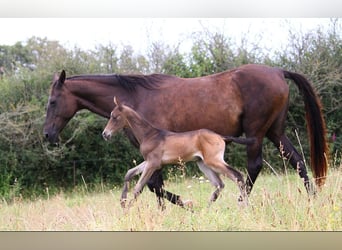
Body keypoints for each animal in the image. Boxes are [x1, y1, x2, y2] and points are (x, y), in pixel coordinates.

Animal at [103, 97, 255, 207]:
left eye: (114, 117)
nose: (105, 134)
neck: (149, 134)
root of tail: (221, 136)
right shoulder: (149, 161)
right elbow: (129, 173)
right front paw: (122, 201)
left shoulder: (153, 164)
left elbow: (138, 187)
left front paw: (127, 209)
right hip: (203, 164)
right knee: (219, 184)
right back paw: (206, 208)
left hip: (213, 161)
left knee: (237, 176)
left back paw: (245, 206)